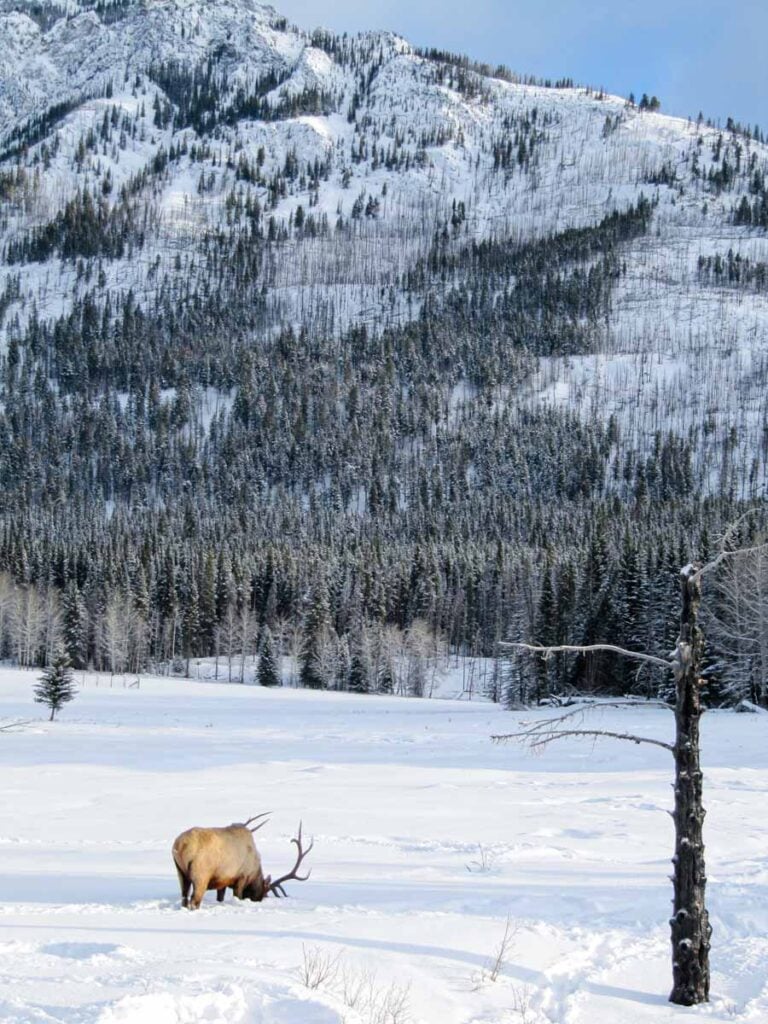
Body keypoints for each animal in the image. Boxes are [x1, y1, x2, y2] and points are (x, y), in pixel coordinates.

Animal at [171, 813, 313, 910]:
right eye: (263, 892)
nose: (258, 900)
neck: (254, 871)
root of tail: (181, 845)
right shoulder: (241, 876)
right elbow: (237, 896)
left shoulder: (222, 880)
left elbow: (220, 898)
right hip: (201, 873)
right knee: (194, 900)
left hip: (180, 872)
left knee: (184, 896)